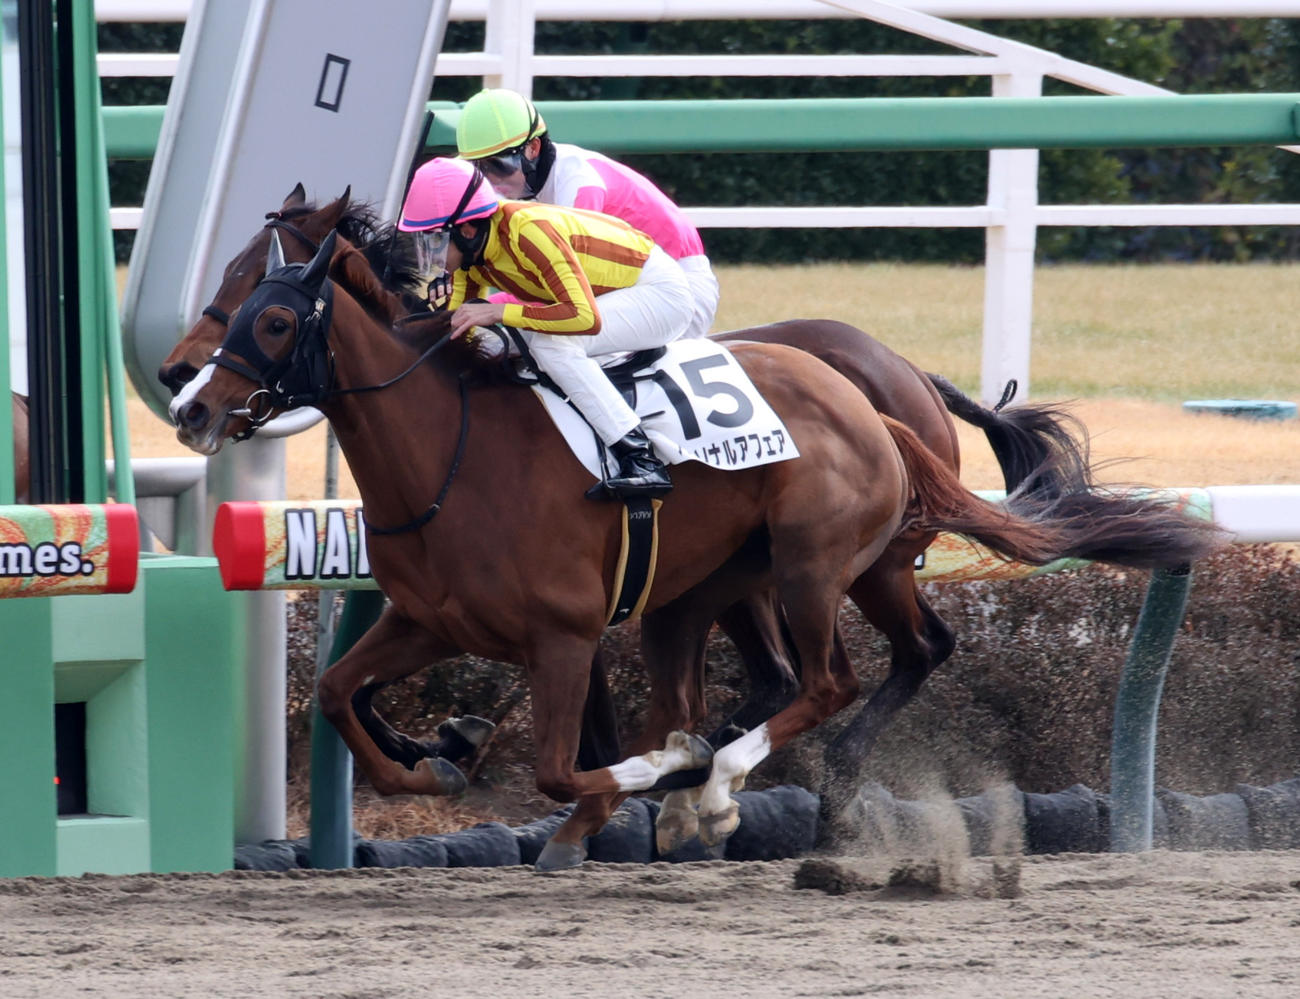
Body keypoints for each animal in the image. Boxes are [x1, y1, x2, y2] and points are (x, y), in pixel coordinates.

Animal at [168, 229, 1222, 868]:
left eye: (271, 314)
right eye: (229, 287)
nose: (189, 403)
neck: (451, 453)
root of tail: (878, 399)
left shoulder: (564, 636)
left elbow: (567, 766)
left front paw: (640, 785)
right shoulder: (430, 618)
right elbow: (338, 693)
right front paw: (430, 759)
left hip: (819, 566)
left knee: (834, 679)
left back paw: (726, 786)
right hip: (717, 586)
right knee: (823, 670)